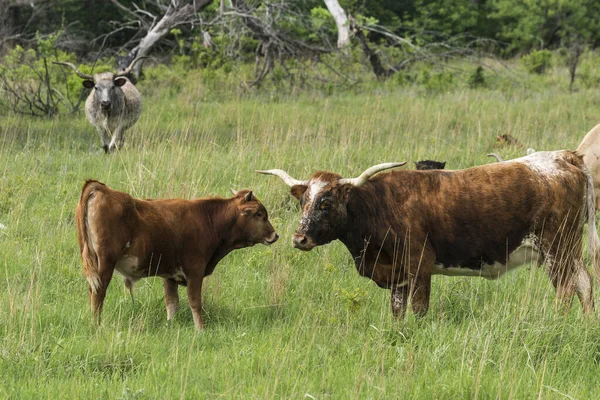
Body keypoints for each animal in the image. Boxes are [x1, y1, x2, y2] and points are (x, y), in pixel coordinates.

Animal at [75, 180, 278, 330]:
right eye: (259, 214)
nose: (275, 235)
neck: (209, 219)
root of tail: (101, 188)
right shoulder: (195, 270)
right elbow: (195, 302)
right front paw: (200, 329)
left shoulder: (169, 274)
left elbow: (172, 303)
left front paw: (171, 325)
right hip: (105, 263)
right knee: (98, 292)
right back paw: (97, 325)